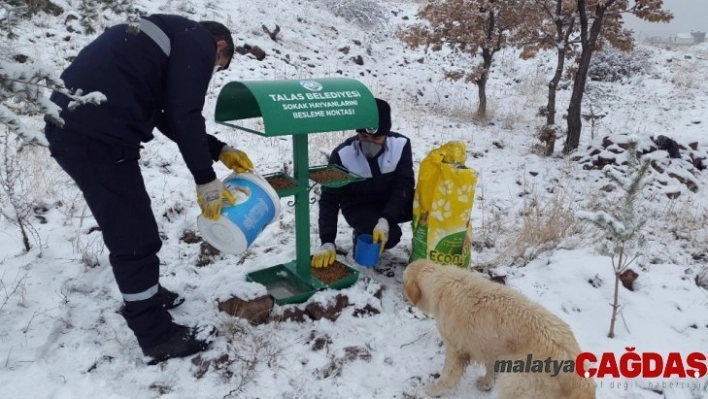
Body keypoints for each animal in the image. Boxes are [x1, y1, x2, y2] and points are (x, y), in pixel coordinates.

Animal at [402, 260, 596, 398]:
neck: (442, 281)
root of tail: (582, 384)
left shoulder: (456, 349)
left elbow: (447, 376)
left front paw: (433, 390)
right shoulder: (489, 345)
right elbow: (490, 367)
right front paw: (486, 383)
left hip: (515, 380)